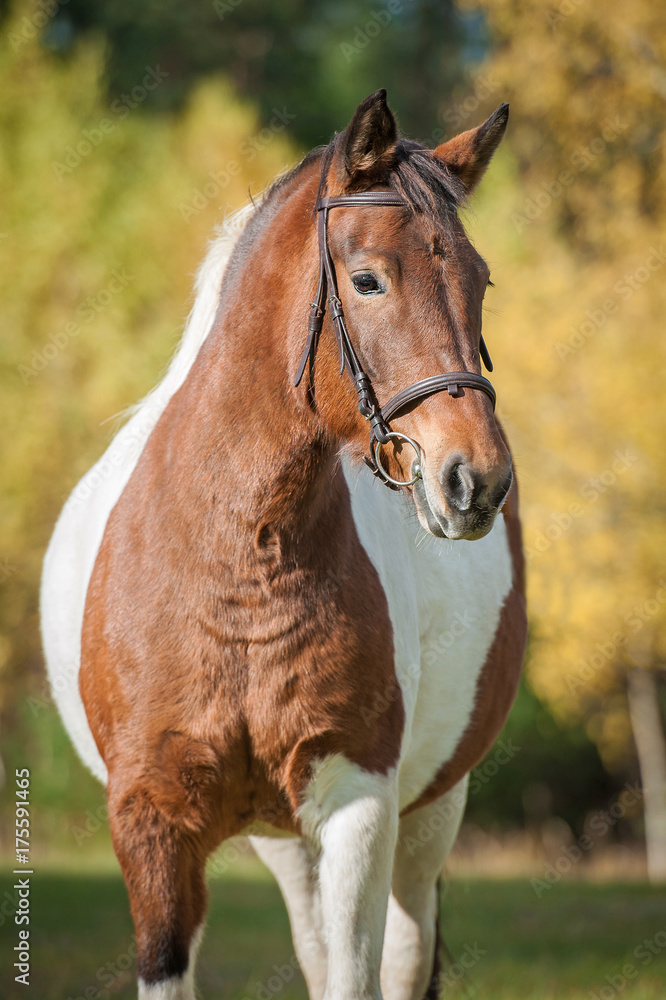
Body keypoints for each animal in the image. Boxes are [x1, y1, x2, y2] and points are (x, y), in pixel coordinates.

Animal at [41, 89, 527, 1000]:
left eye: (478, 281)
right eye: (368, 279)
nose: (475, 481)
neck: (231, 564)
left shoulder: (360, 805)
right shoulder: (152, 827)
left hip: (426, 819)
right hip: (285, 842)